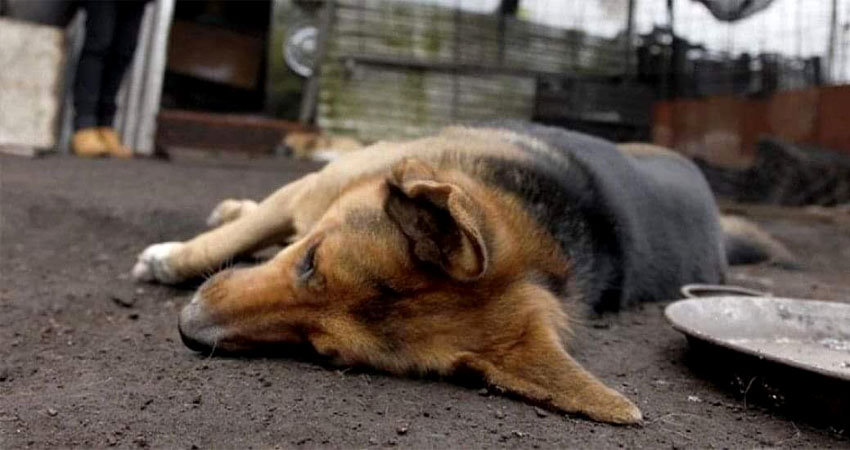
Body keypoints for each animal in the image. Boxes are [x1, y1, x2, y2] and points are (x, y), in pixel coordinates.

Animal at [131, 121, 788, 424]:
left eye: (323, 352)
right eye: (311, 263)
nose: (188, 331)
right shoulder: (314, 191)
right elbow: (235, 239)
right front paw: (175, 258)